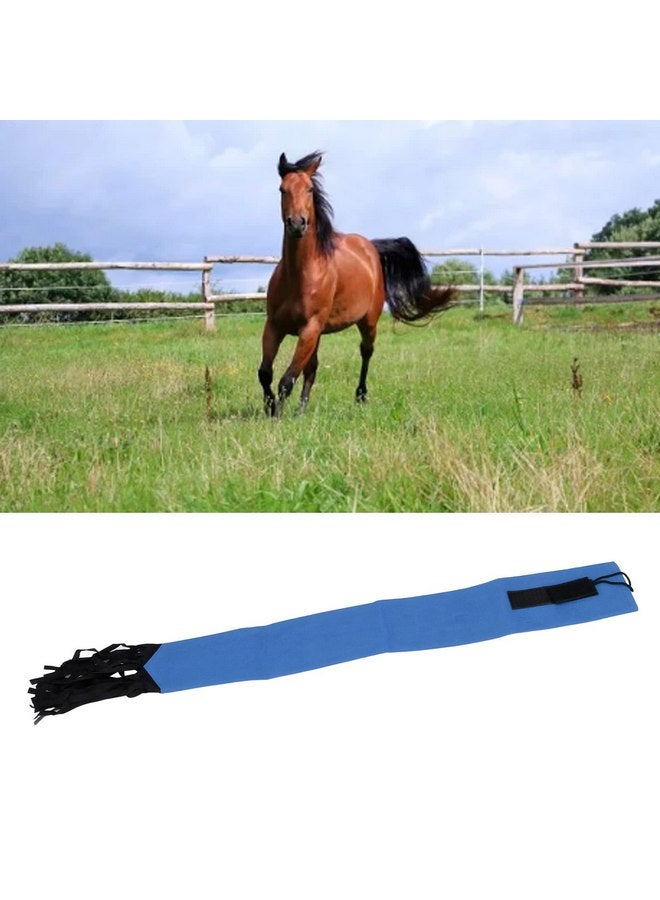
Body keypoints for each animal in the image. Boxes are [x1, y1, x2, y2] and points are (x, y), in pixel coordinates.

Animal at [258, 151, 456, 416]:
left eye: (310, 189)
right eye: (282, 189)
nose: (297, 224)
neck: (299, 274)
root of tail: (370, 247)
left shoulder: (309, 328)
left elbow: (286, 380)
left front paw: (277, 415)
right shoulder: (275, 326)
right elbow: (265, 373)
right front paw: (270, 408)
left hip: (368, 321)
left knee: (366, 352)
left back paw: (360, 396)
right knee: (312, 368)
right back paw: (302, 410)